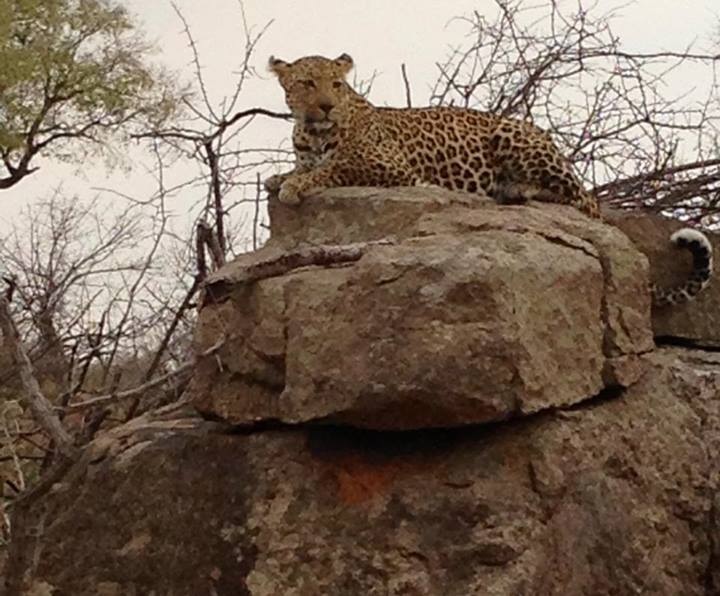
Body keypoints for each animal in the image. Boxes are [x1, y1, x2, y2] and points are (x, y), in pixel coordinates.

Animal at [266, 53, 713, 307]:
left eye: (335, 84)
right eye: (307, 83)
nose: (326, 105)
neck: (312, 130)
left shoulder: (387, 165)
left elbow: (334, 166)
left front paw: (293, 186)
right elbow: (303, 166)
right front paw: (281, 176)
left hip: (512, 135)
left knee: (576, 198)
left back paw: (517, 188)